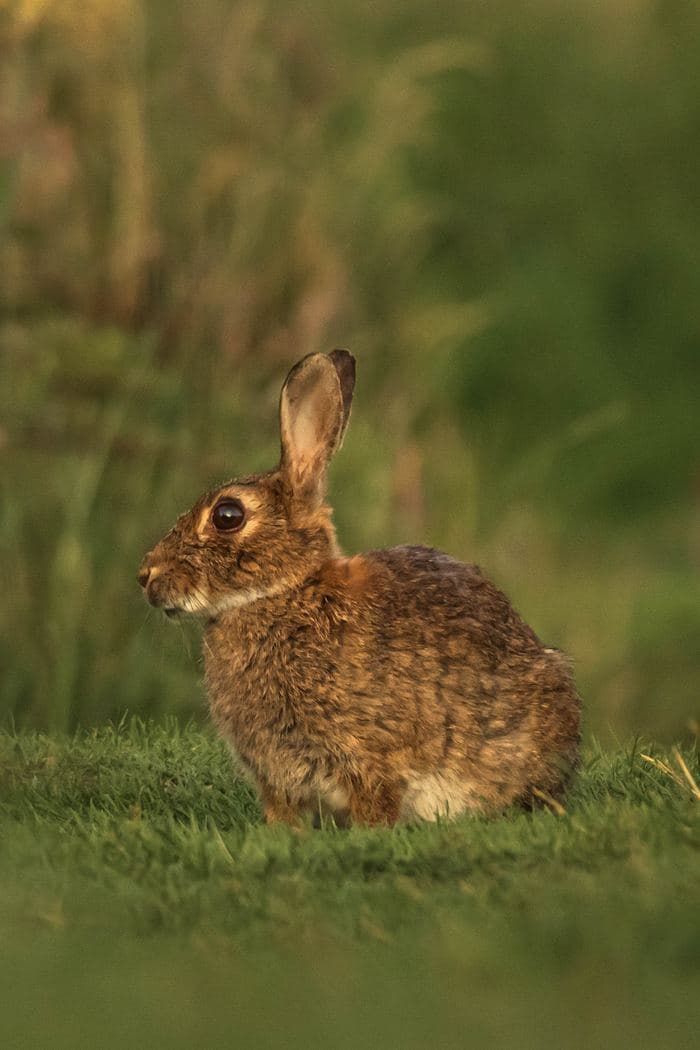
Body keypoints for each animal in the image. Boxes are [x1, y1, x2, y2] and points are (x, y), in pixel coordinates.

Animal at [138, 350, 581, 825]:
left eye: (227, 516)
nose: (147, 575)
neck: (287, 594)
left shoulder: (371, 759)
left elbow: (375, 805)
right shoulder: (278, 779)